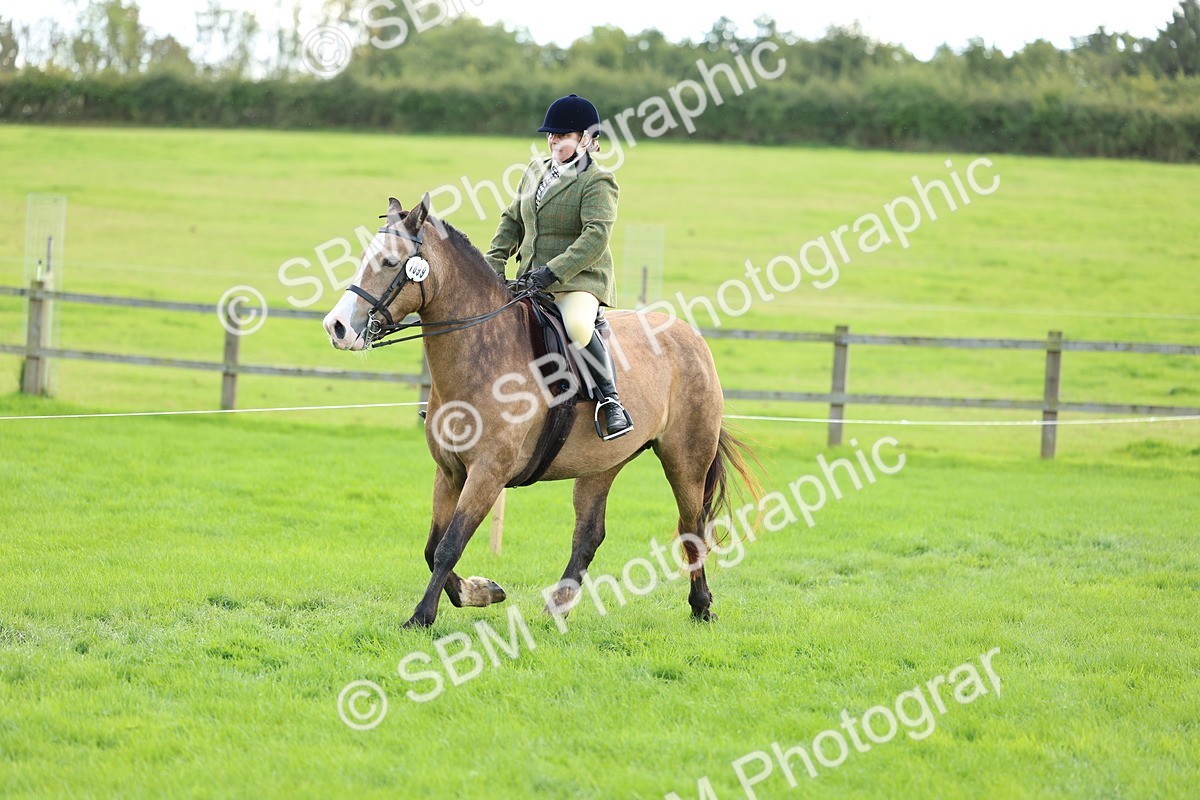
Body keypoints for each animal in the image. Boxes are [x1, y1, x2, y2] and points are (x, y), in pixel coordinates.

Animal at [322, 194, 757, 628]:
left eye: (390, 262)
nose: (336, 326)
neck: (484, 353)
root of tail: (691, 336)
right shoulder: (449, 472)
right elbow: (432, 547)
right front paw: (482, 591)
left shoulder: (488, 473)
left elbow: (449, 546)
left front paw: (422, 616)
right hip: (602, 464)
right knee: (589, 535)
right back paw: (559, 604)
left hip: (686, 459)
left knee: (691, 526)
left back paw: (701, 605)